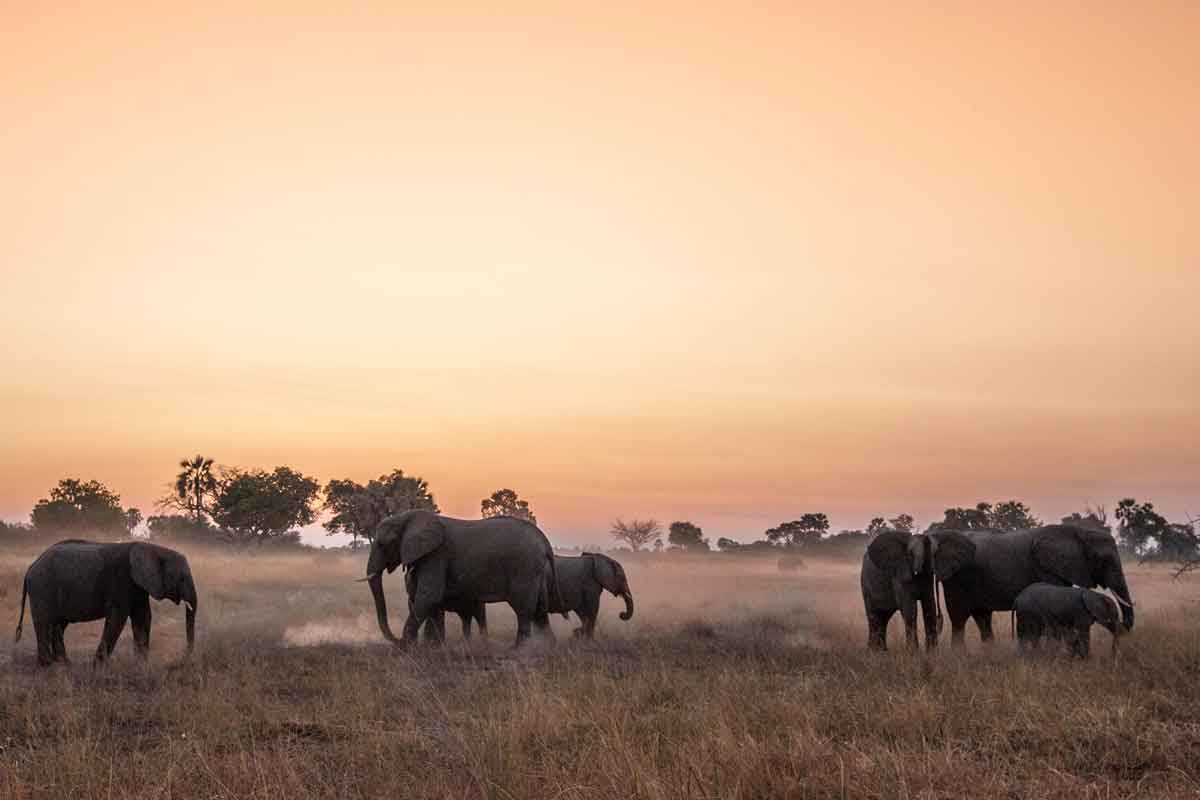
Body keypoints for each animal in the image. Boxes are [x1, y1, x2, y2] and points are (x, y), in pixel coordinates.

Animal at [13, 537, 196, 671]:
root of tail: (30, 567)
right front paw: (98, 667)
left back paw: (64, 664)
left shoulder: (138, 585)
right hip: (42, 588)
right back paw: (47, 666)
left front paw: (140, 666)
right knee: (44, 623)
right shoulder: (122, 581)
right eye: (182, 578)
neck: (154, 549)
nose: (183, 659)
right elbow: (118, 618)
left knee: (58, 625)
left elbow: (143, 617)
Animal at [362, 513, 559, 652]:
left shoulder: (436, 555)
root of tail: (544, 542)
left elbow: (429, 596)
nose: (396, 641)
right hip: (537, 573)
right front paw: (431, 648)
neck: (408, 518)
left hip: (524, 569)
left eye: (382, 544)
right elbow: (429, 601)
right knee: (540, 611)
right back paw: (547, 647)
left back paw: (519, 650)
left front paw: (407, 648)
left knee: (523, 611)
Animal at [936, 522, 1132, 647]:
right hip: (956, 579)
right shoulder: (1046, 569)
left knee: (982, 618)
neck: (1079, 532)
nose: (1122, 625)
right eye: (1105, 560)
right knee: (959, 620)